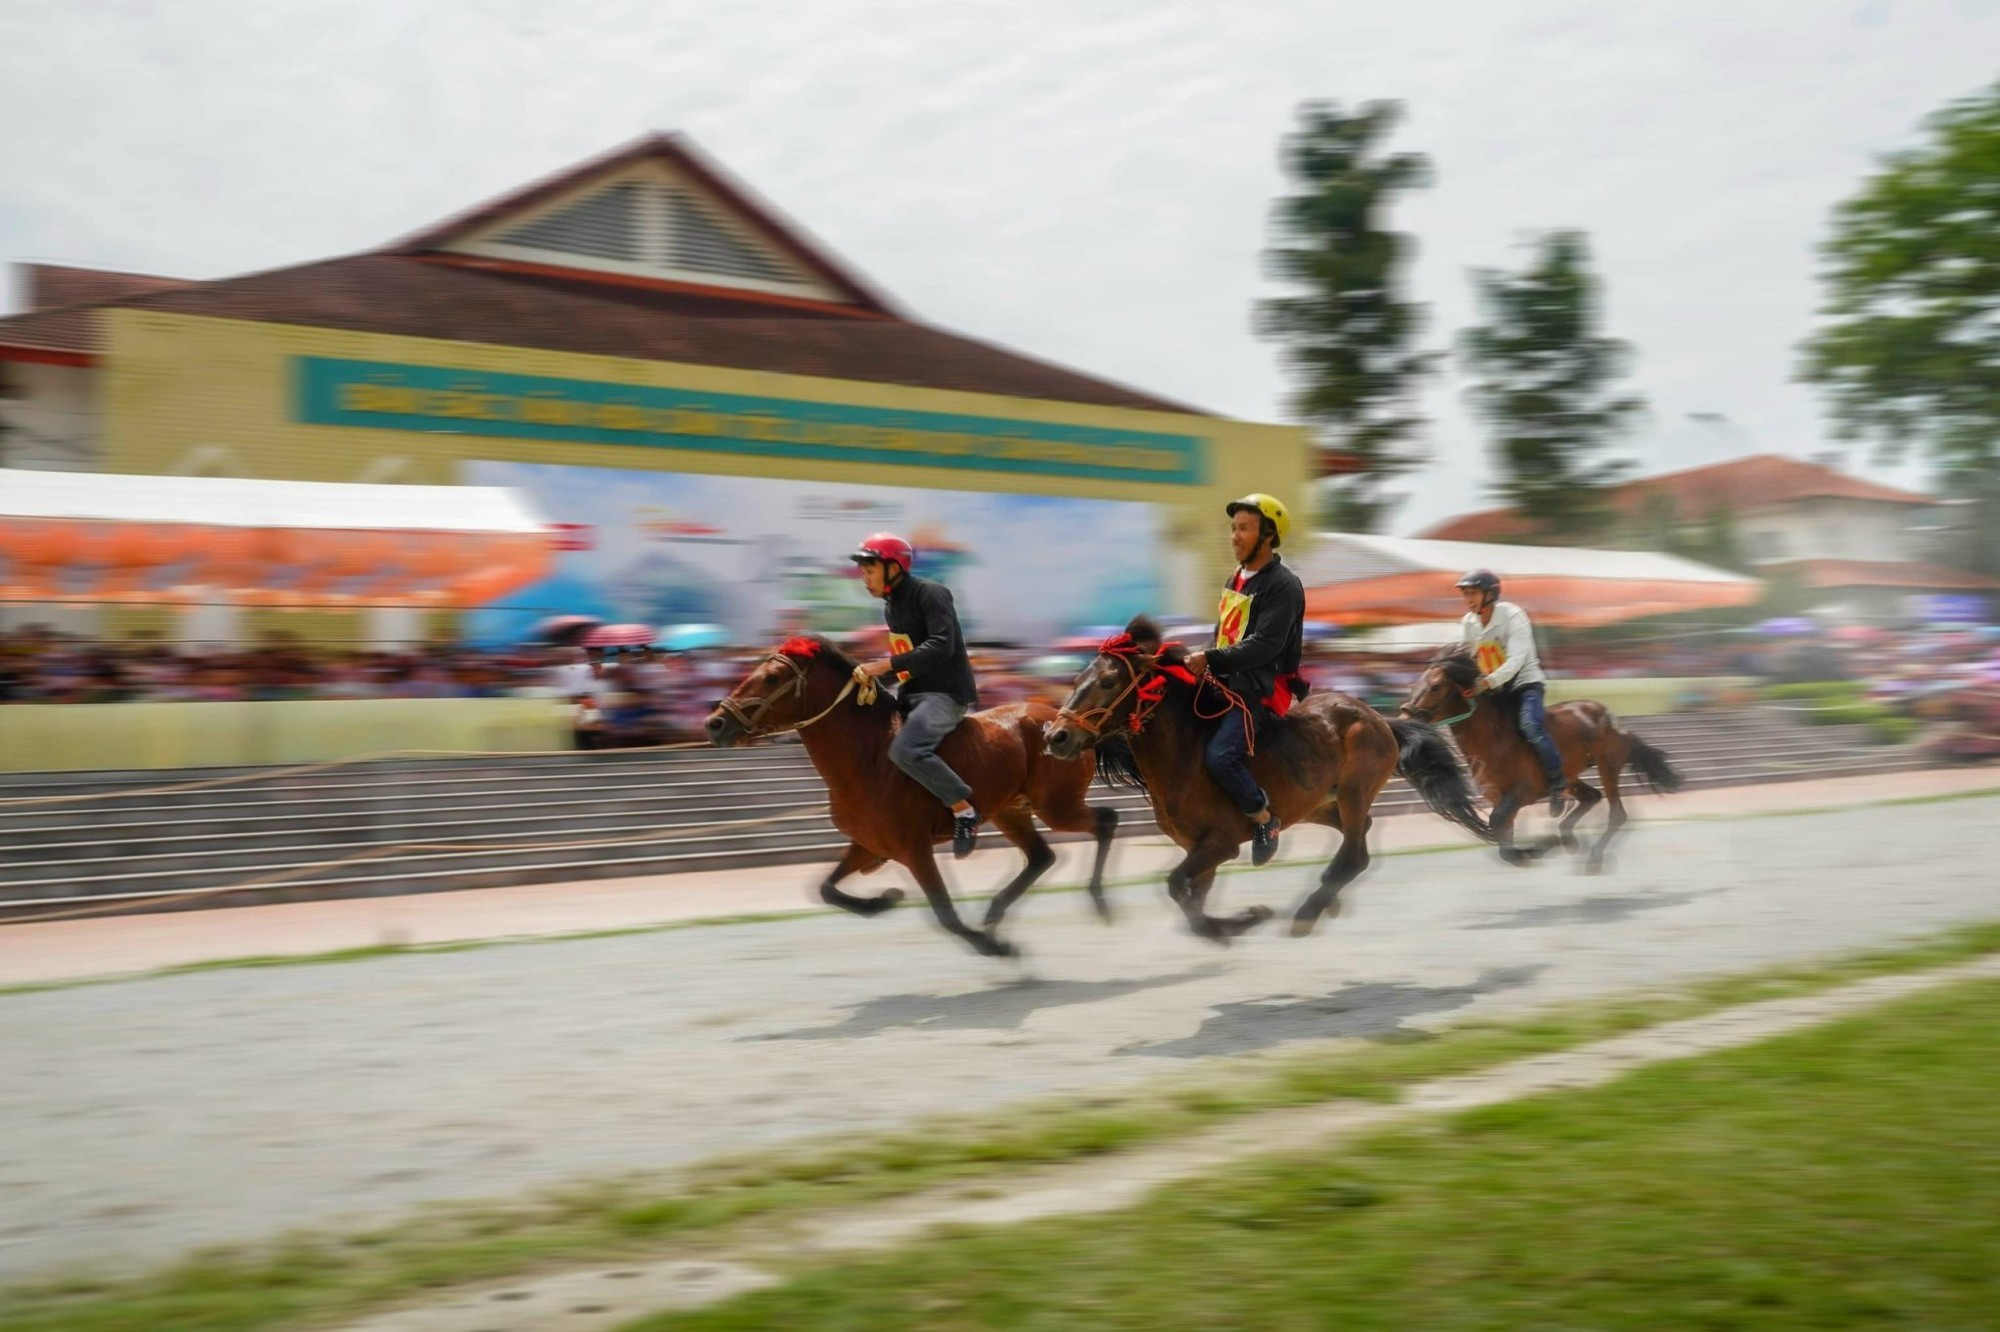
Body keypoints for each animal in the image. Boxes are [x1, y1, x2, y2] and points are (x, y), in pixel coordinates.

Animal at [704, 636, 1120, 956]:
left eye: (772, 677)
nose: (715, 722)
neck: (867, 757)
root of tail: (1070, 721)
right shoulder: (869, 844)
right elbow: (825, 889)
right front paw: (884, 899)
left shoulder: (914, 850)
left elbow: (945, 914)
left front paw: (995, 948)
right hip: (1011, 811)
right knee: (1042, 856)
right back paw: (995, 913)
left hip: (1056, 806)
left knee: (1105, 821)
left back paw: (1098, 902)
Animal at [1048, 616, 1488, 940]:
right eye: (1076, 680)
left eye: (1108, 682)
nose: (1056, 736)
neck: (1184, 757)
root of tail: (1379, 718)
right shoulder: (1197, 849)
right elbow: (1193, 900)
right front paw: (1231, 924)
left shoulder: (1220, 844)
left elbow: (1177, 887)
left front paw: (1246, 919)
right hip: (1315, 804)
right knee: (1358, 835)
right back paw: (1326, 900)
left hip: (1354, 789)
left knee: (1355, 852)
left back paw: (1309, 911)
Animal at [1408, 644, 1688, 872]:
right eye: (1416, 683)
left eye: (1436, 686)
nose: (1406, 712)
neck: (1493, 738)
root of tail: (1610, 716)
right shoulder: (1500, 797)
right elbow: (1503, 838)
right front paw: (1537, 849)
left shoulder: (1524, 791)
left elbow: (1498, 824)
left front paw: (1537, 849)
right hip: (1571, 774)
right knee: (1591, 796)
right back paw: (1568, 837)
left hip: (1607, 765)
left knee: (1616, 813)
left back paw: (1593, 857)